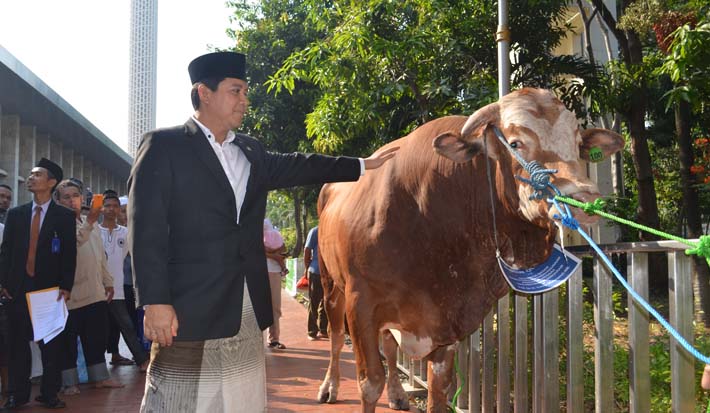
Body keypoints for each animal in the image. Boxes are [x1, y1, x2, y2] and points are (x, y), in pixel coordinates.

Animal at [318, 88, 624, 410]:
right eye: (515, 143)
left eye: (577, 144)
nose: (584, 198)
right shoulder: (361, 303)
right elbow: (369, 383)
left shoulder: (448, 318)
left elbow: (438, 387)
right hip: (331, 286)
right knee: (336, 336)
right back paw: (330, 386)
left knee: (389, 346)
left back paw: (398, 393)